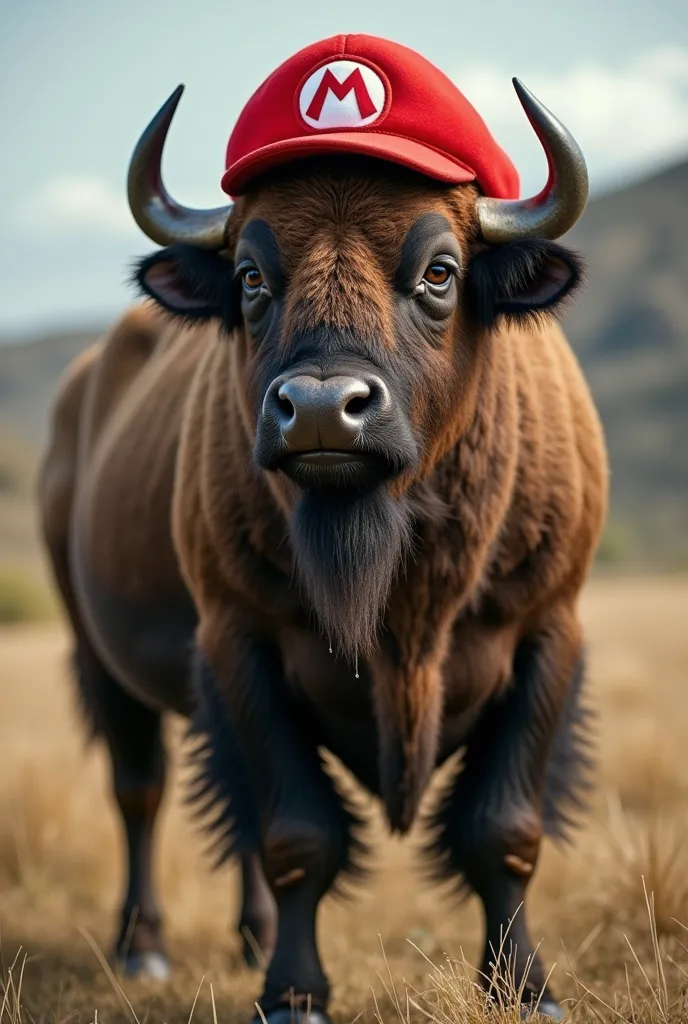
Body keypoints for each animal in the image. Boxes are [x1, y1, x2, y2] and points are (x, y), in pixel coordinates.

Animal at [38, 34, 606, 1024]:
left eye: (440, 271)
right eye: (252, 277)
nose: (318, 410)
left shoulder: (549, 633)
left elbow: (505, 828)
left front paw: (526, 990)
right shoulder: (240, 640)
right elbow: (298, 834)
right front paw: (294, 995)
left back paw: (247, 936)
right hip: (98, 655)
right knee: (140, 790)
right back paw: (143, 949)